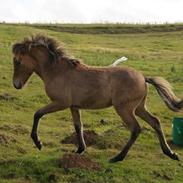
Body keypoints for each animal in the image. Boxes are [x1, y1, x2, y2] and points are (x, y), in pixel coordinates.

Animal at [12, 35, 182, 162]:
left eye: (18, 61)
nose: (16, 84)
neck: (58, 71)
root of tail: (143, 78)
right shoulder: (73, 106)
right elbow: (78, 126)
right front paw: (80, 150)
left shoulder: (60, 103)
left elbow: (38, 114)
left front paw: (38, 142)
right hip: (139, 107)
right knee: (155, 122)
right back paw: (170, 153)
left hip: (124, 109)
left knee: (135, 129)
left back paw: (117, 157)